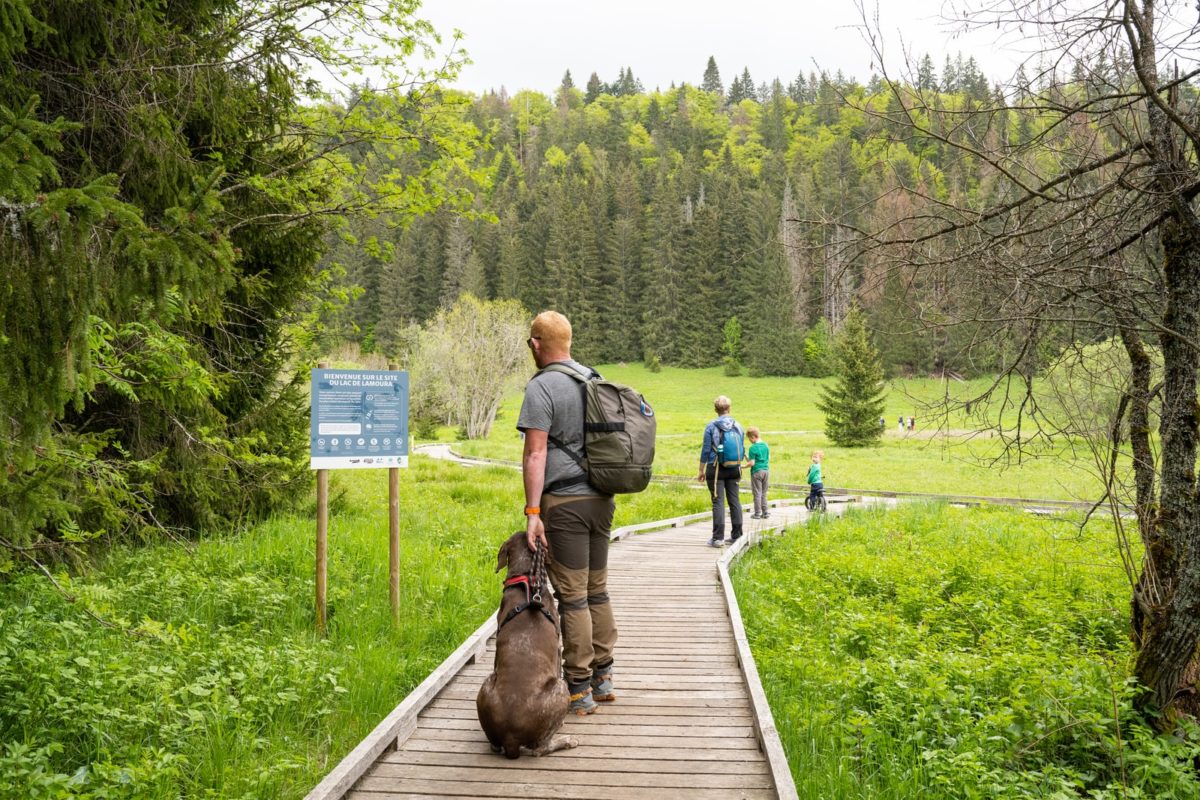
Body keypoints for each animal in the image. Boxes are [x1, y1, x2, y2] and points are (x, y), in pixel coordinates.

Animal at [472, 534, 576, 762]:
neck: (526, 579)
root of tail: (511, 738)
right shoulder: (558, 650)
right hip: (559, 687)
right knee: (539, 749)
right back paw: (566, 740)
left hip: (487, 683)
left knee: (495, 746)